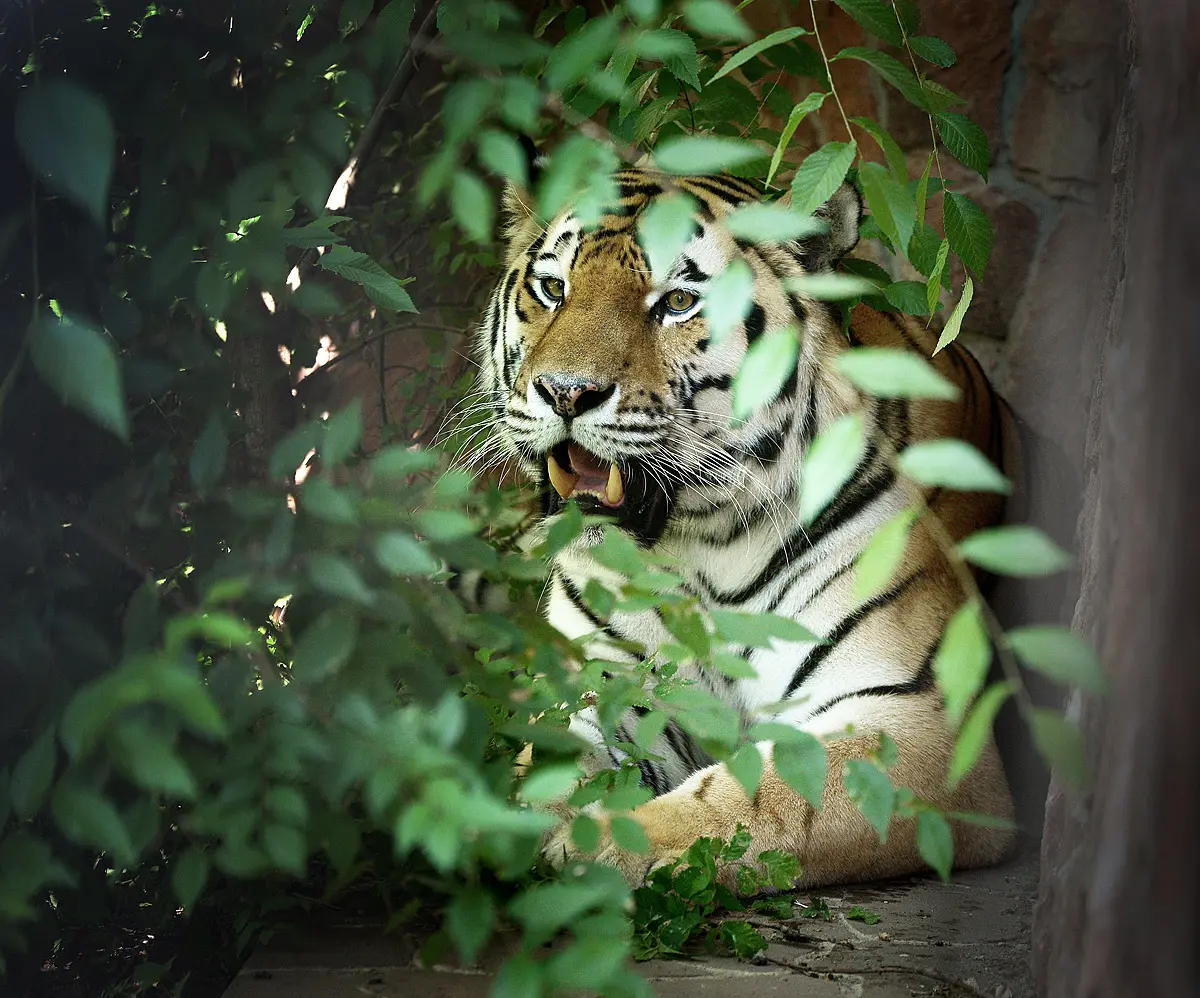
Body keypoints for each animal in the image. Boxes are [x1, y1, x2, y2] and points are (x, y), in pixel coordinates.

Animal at [472, 163, 1017, 887]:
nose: (565, 392)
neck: (702, 539)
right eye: (554, 289)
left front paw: (599, 847)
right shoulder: (605, 678)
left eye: (677, 302)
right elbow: (547, 761)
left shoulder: (917, 718)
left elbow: (765, 796)